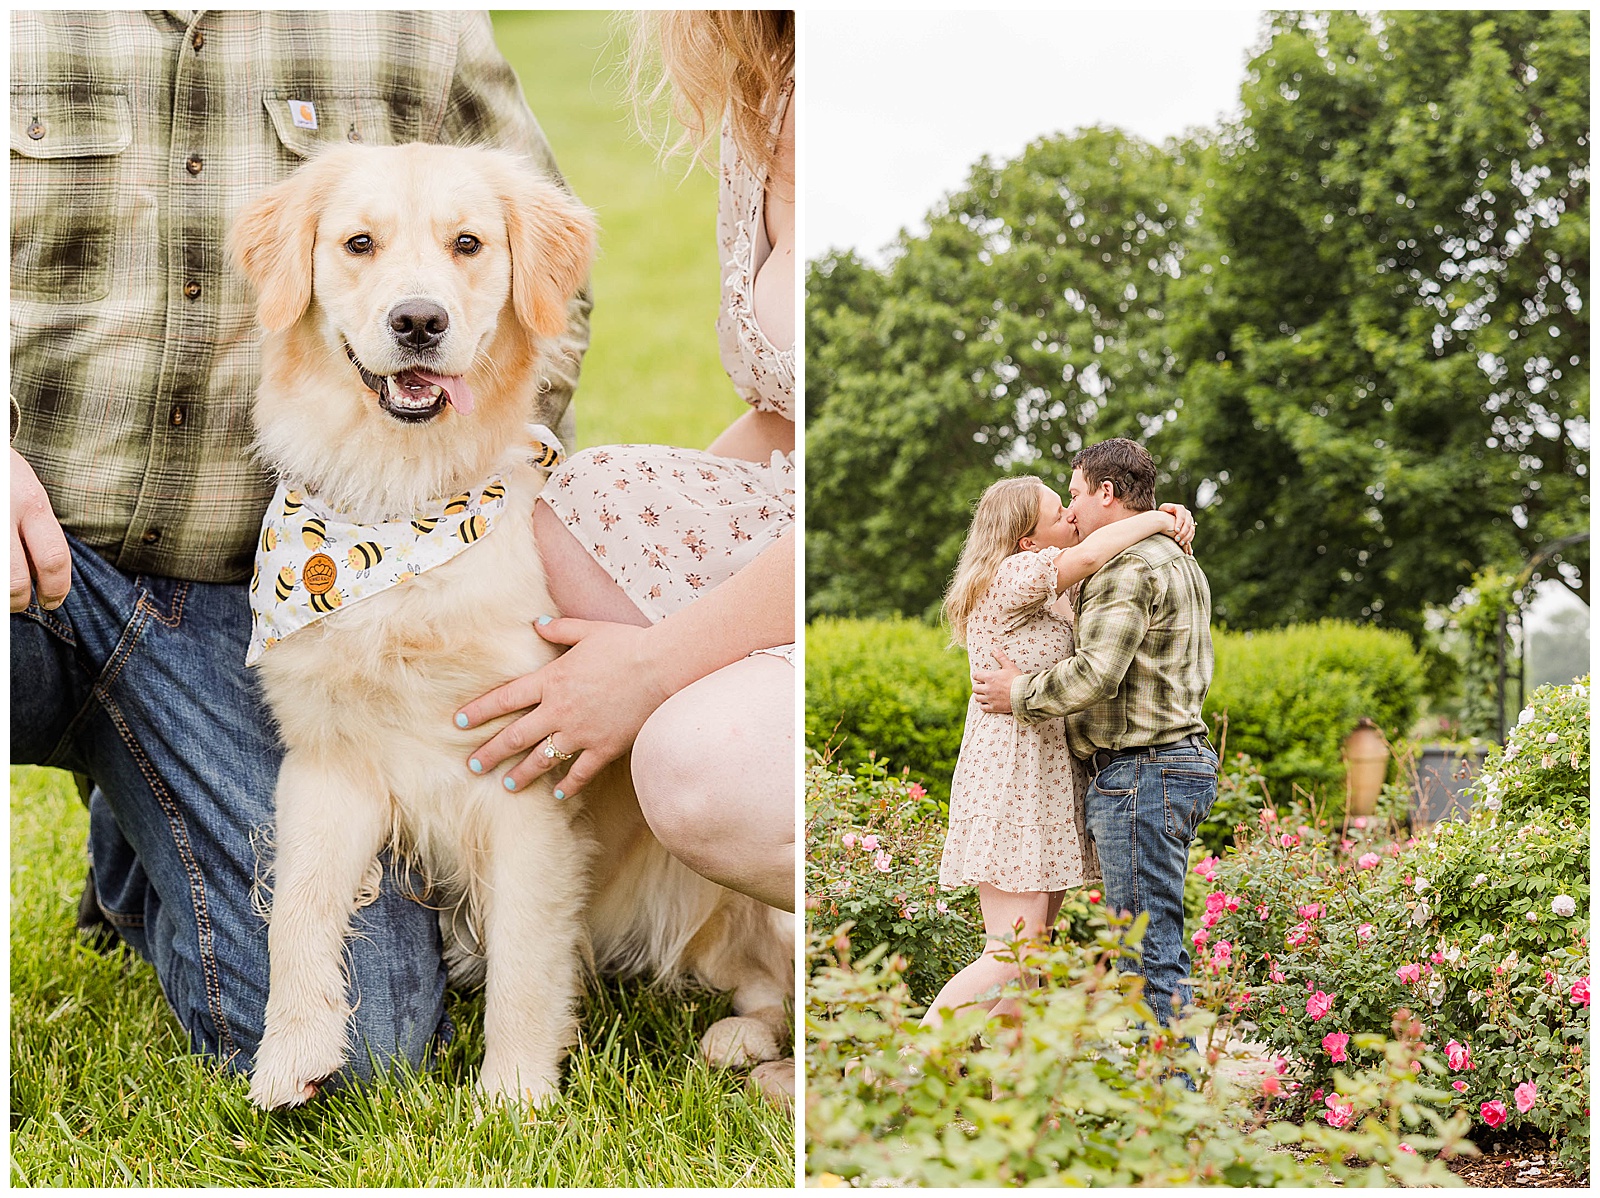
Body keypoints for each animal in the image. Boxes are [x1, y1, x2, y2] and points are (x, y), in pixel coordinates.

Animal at [227, 142, 793, 1113]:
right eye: (358, 243)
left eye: (468, 244)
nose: (419, 321)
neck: (402, 505)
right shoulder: (328, 763)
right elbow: (296, 911)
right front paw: (290, 1053)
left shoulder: (525, 778)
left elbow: (526, 962)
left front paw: (514, 1102)